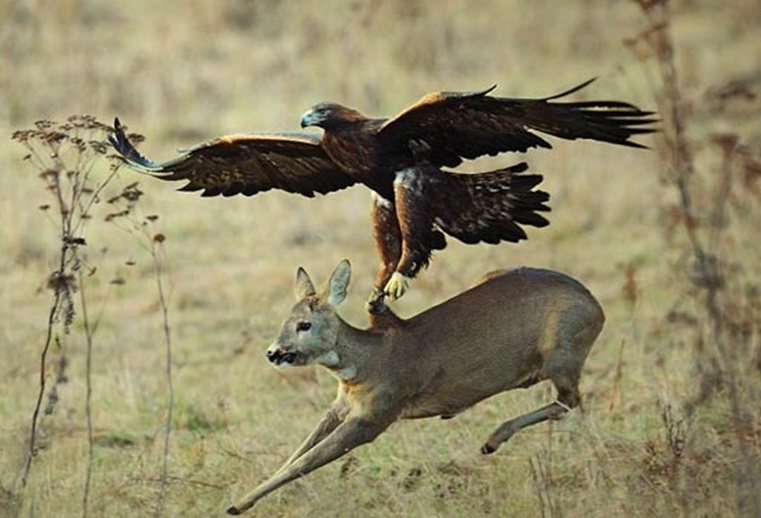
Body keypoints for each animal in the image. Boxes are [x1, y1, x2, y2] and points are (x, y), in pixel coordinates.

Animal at [227, 259, 605, 515]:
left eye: (304, 324)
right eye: (284, 321)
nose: (273, 352)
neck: (368, 360)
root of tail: (597, 309)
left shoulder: (377, 414)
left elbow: (306, 460)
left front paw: (237, 504)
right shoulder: (341, 404)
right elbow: (298, 451)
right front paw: (249, 497)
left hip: (561, 352)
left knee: (570, 400)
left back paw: (492, 440)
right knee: (567, 401)